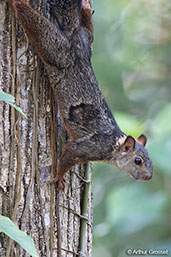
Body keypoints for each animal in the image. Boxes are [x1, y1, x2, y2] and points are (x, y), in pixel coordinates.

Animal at [7, 0, 153, 191]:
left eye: (151, 161)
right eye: (138, 161)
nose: (149, 177)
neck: (114, 144)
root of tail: (74, 40)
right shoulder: (87, 148)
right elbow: (69, 156)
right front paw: (59, 177)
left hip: (86, 41)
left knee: (87, 28)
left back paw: (85, 7)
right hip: (55, 51)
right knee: (35, 25)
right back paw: (19, 3)